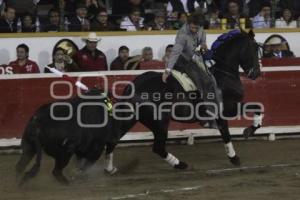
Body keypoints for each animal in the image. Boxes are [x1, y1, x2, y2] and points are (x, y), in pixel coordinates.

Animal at [102, 29, 262, 173]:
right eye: (254, 49)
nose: (256, 73)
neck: (223, 75)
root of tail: (134, 86)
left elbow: (257, 108)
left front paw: (248, 131)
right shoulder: (226, 111)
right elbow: (228, 133)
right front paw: (235, 157)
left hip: (130, 118)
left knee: (113, 139)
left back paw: (110, 168)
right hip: (160, 122)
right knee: (158, 147)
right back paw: (181, 165)